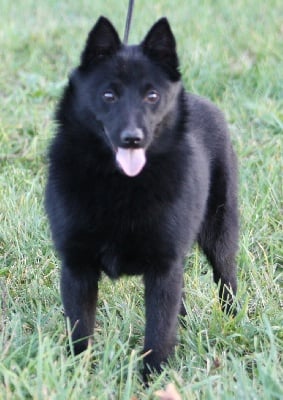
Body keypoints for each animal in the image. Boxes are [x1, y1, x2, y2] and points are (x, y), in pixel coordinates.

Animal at [45, 15, 240, 378]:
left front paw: (154, 378)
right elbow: (80, 329)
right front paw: (79, 374)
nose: (132, 139)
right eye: (108, 94)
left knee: (227, 281)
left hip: (220, 234)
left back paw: (234, 322)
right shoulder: (77, 267)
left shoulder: (164, 267)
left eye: (152, 96)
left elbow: (159, 331)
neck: (120, 185)